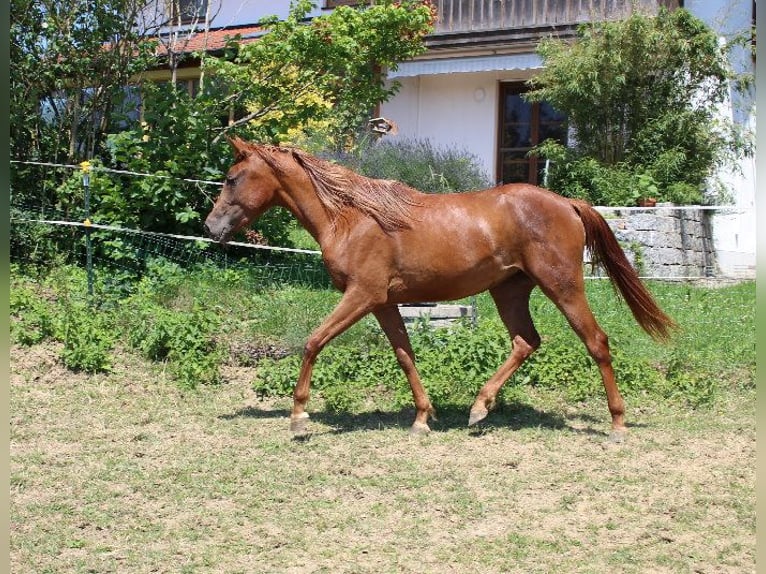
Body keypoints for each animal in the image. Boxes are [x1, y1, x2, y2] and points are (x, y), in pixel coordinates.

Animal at [204, 138, 680, 440]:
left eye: (231, 178)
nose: (210, 227)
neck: (351, 218)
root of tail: (567, 203)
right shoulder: (383, 303)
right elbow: (405, 356)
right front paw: (422, 417)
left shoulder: (361, 296)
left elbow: (313, 341)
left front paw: (298, 416)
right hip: (509, 291)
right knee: (526, 341)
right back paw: (479, 408)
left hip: (562, 286)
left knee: (596, 341)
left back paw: (617, 425)